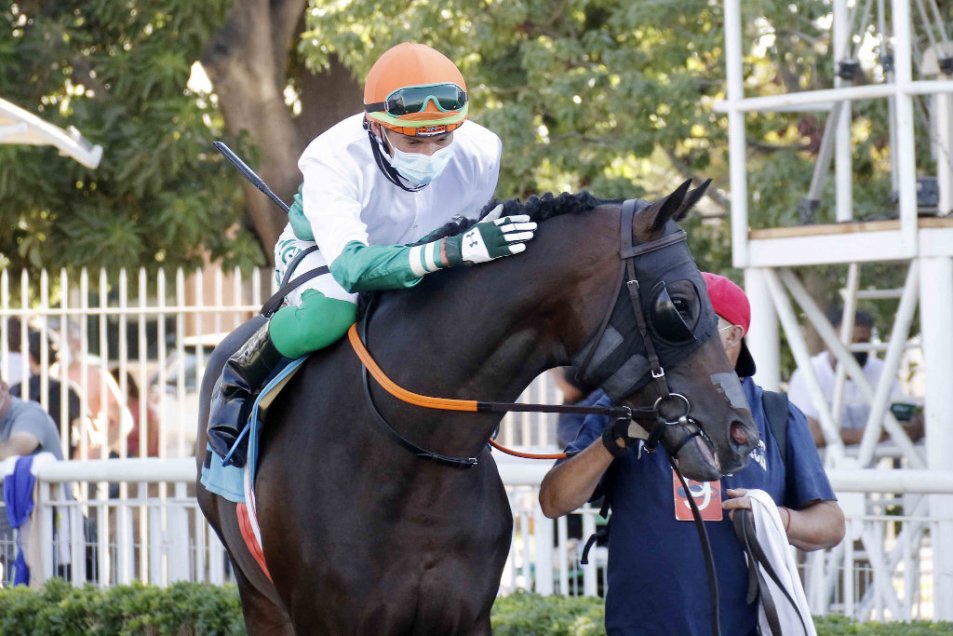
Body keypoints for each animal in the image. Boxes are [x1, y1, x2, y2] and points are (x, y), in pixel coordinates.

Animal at [196, 180, 759, 635]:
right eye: (679, 303)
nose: (741, 433)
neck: (408, 463)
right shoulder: (329, 619)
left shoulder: (466, 615)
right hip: (259, 597)